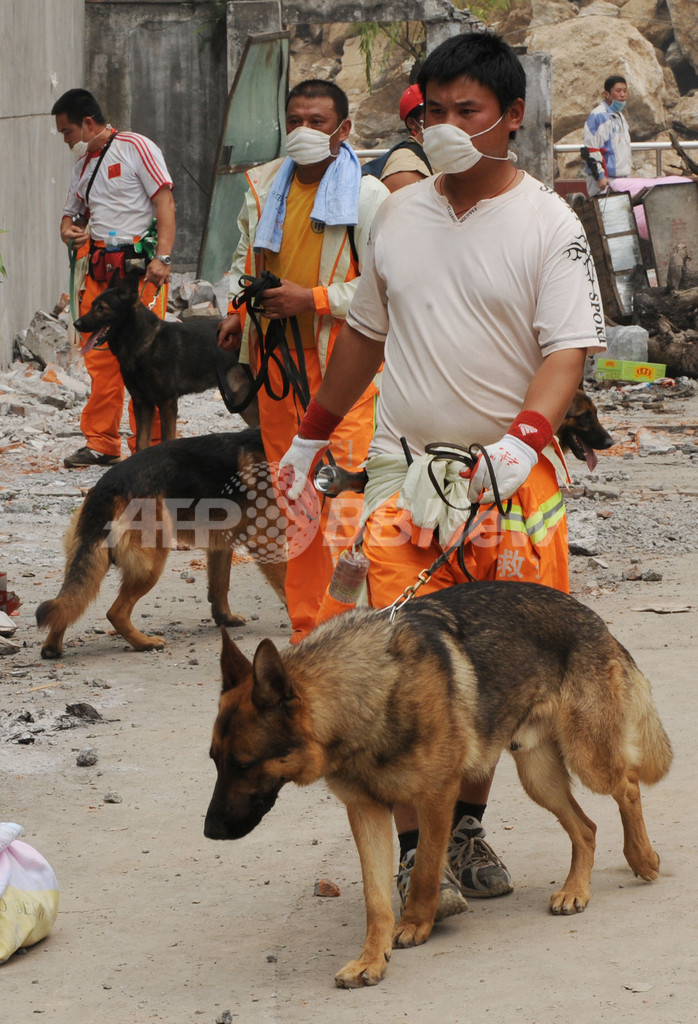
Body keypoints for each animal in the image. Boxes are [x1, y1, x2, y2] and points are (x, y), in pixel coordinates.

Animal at [36, 429, 285, 659]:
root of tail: (107, 487)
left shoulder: (221, 547)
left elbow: (220, 586)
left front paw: (225, 618)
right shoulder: (266, 541)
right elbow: (284, 587)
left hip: (90, 563)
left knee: (66, 605)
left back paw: (52, 648)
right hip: (150, 565)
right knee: (115, 612)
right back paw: (145, 643)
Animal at [73, 267, 258, 451]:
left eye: (101, 308)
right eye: (92, 305)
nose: (76, 324)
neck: (143, 342)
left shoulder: (167, 402)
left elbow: (166, 439)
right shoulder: (142, 403)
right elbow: (141, 444)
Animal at [204, 581, 672, 988]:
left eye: (244, 764)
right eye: (215, 760)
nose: (209, 832)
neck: (368, 693)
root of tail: (592, 618)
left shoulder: (437, 795)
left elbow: (428, 868)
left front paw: (415, 923)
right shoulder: (366, 811)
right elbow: (375, 900)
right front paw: (371, 959)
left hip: (588, 758)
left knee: (628, 786)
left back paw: (642, 857)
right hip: (539, 778)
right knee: (586, 828)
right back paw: (576, 890)